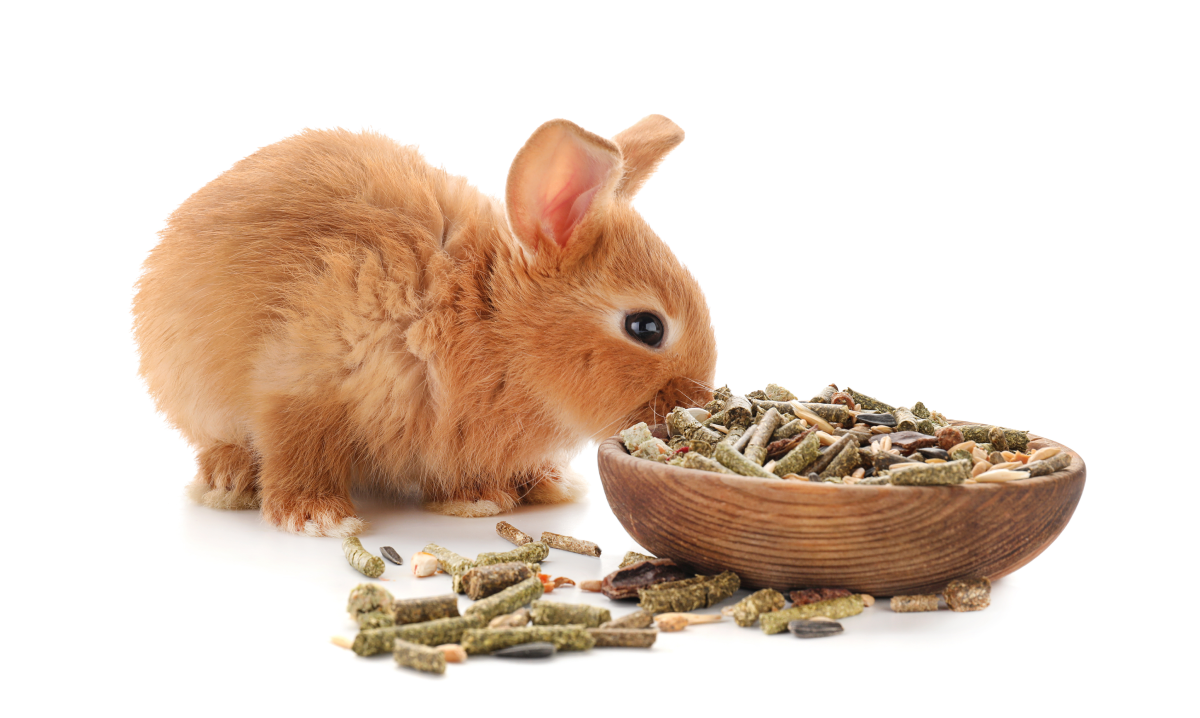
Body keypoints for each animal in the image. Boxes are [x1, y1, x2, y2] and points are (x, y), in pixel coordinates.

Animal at [133, 115, 717, 536]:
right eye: (646, 327)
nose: (698, 402)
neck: (489, 317)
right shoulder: (304, 377)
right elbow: (298, 449)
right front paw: (316, 517)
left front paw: (481, 499)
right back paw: (228, 482)